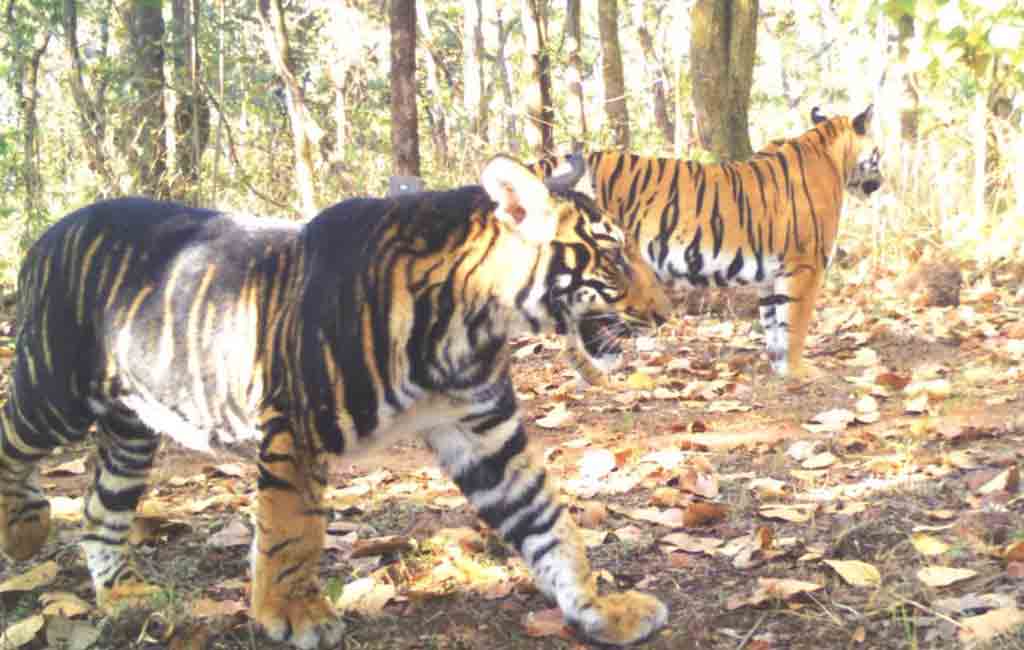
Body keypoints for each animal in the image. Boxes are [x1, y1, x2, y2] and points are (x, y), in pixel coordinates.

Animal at [0, 154, 672, 648]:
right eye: (614, 256)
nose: (667, 312)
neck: (472, 325)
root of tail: (47, 234)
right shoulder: (295, 424)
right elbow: (292, 529)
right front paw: (292, 613)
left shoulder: (483, 428)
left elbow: (549, 522)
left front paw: (601, 608)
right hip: (53, 390)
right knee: (14, 442)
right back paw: (25, 531)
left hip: (132, 426)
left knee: (100, 510)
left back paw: (122, 596)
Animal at [530, 106, 882, 380]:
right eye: (878, 155)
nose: (880, 182)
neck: (832, 155)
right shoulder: (805, 266)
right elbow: (795, 323)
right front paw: (799, 371)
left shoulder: (773, 274)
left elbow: (774, 322)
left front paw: (780, 367)